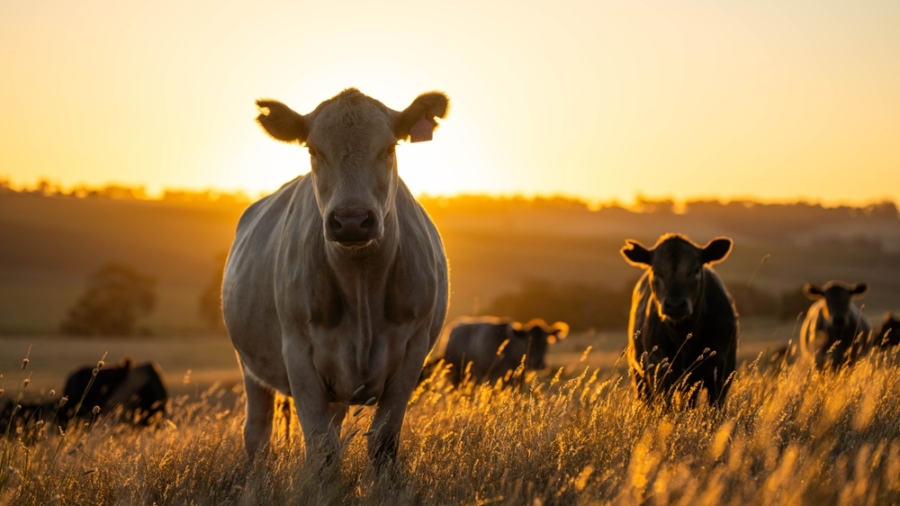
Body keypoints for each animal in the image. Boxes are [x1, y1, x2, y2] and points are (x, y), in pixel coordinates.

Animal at [222, 88, 450, 465]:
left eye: (389, 148)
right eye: (313, 151)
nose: (351, 220)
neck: (361, 285)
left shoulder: (412, 352)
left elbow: (383, 442)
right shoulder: (298, 354)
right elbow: (322, 448)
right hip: (251, 367)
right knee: (257, 433)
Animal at [621, 234, 738, 407]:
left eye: (696, 270)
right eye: (655, 271)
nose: (675, 304)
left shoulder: (723, 371)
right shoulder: (659, 370)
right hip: (640, 375)